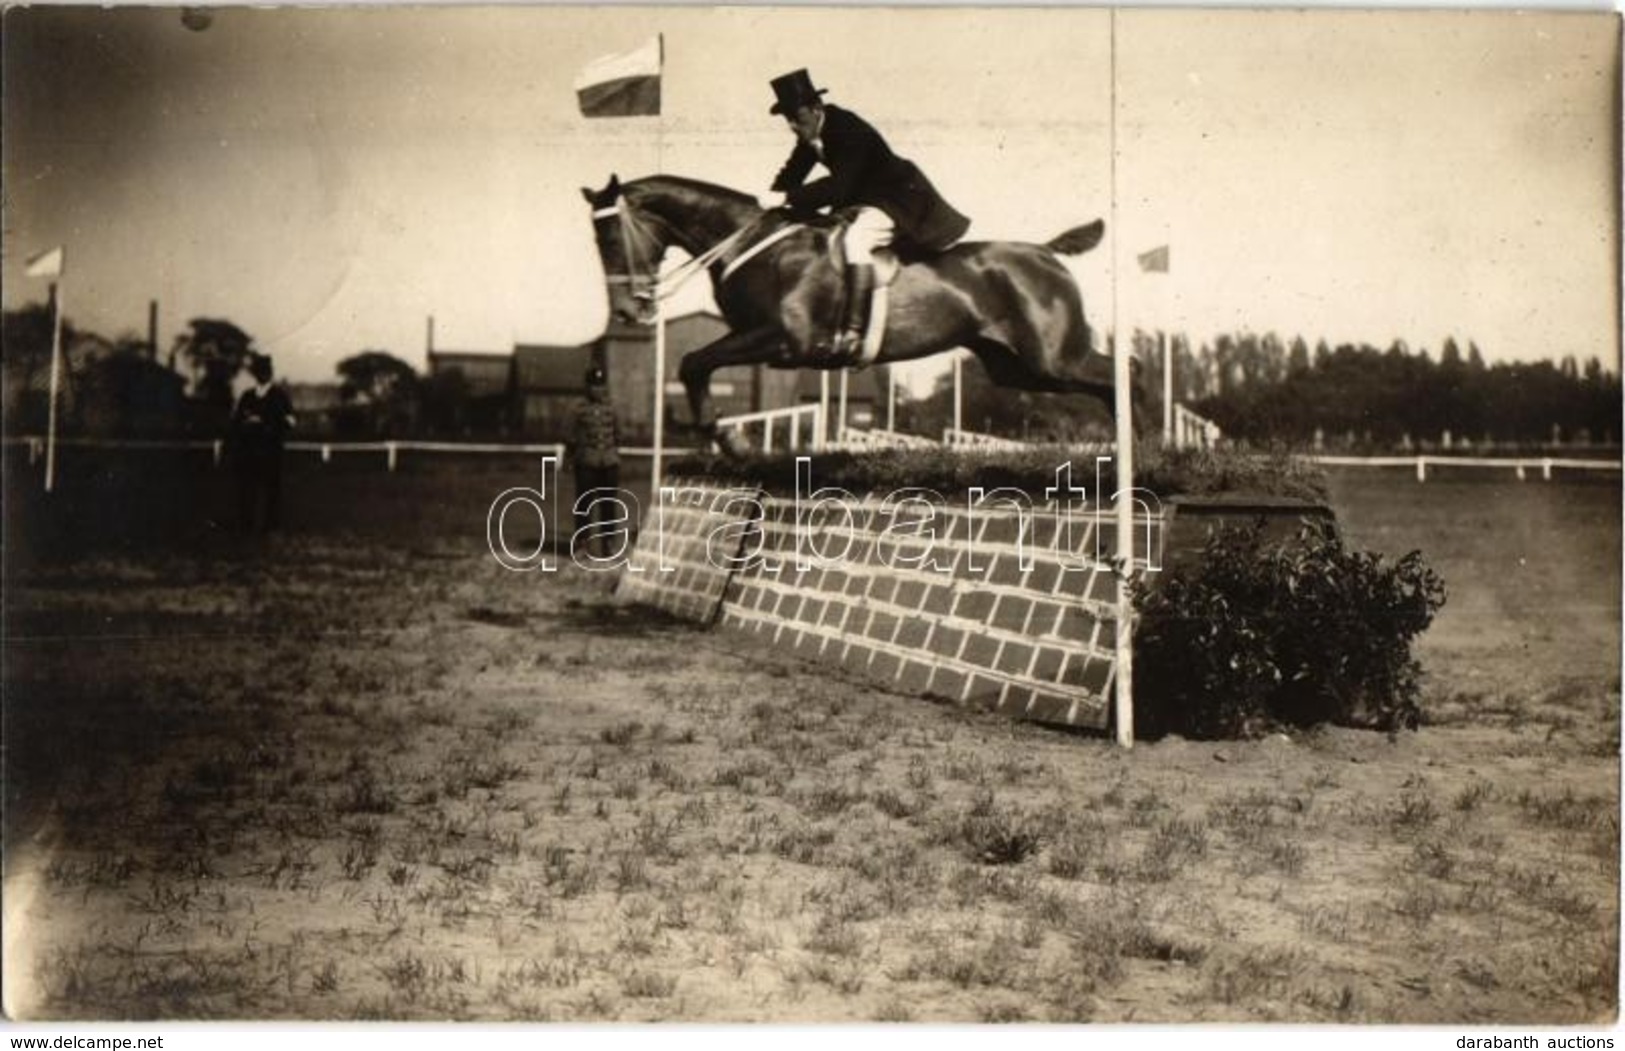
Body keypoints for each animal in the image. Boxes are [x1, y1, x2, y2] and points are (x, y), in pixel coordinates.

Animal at [585, 173, 1144, 451]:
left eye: (610, 237)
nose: (627, 310)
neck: (752, 244)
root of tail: (1046, 253)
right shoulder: (757, 338)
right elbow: (694, 364)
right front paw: (716, 433)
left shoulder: (785, 338)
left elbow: (693, 361)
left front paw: (728, 439)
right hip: (1015, 367)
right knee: (1110, 376)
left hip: (1050, 358)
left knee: (1123, 371)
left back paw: (1136, 446)